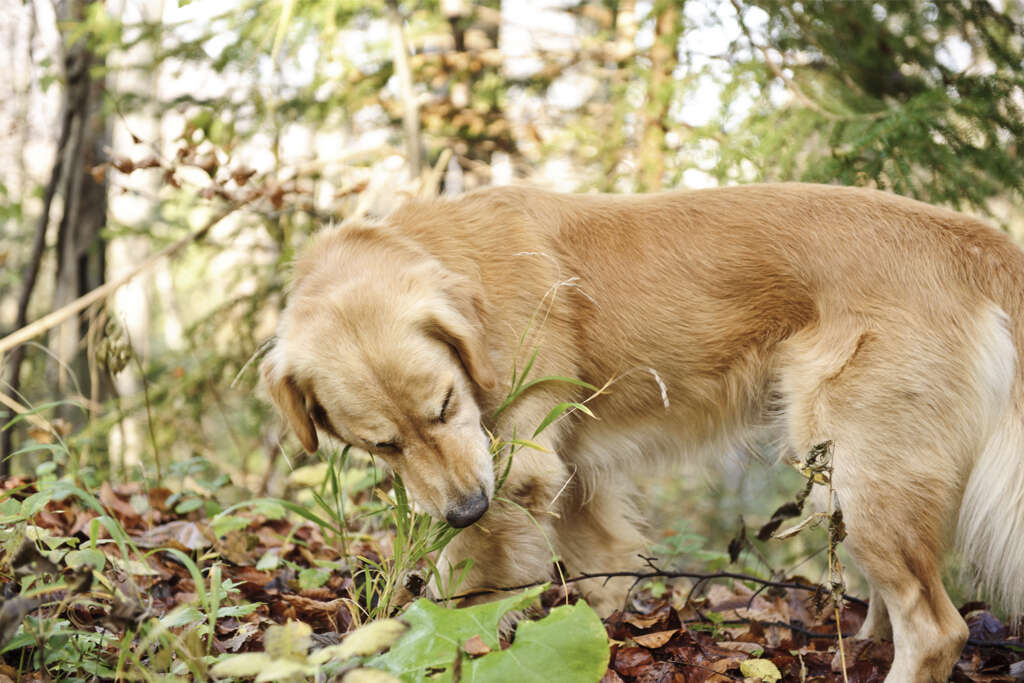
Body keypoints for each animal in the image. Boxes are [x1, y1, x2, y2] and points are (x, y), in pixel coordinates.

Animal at [262, 184, 1024, 679]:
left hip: (864, 475)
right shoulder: (570, 479)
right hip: (844, 481)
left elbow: (462, 596)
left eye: (445, 406)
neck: (456, 257)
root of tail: (980, 242)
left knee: (937, 629)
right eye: (382, 444)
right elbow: (599, 575)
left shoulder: (518, 470)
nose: (464, 509)